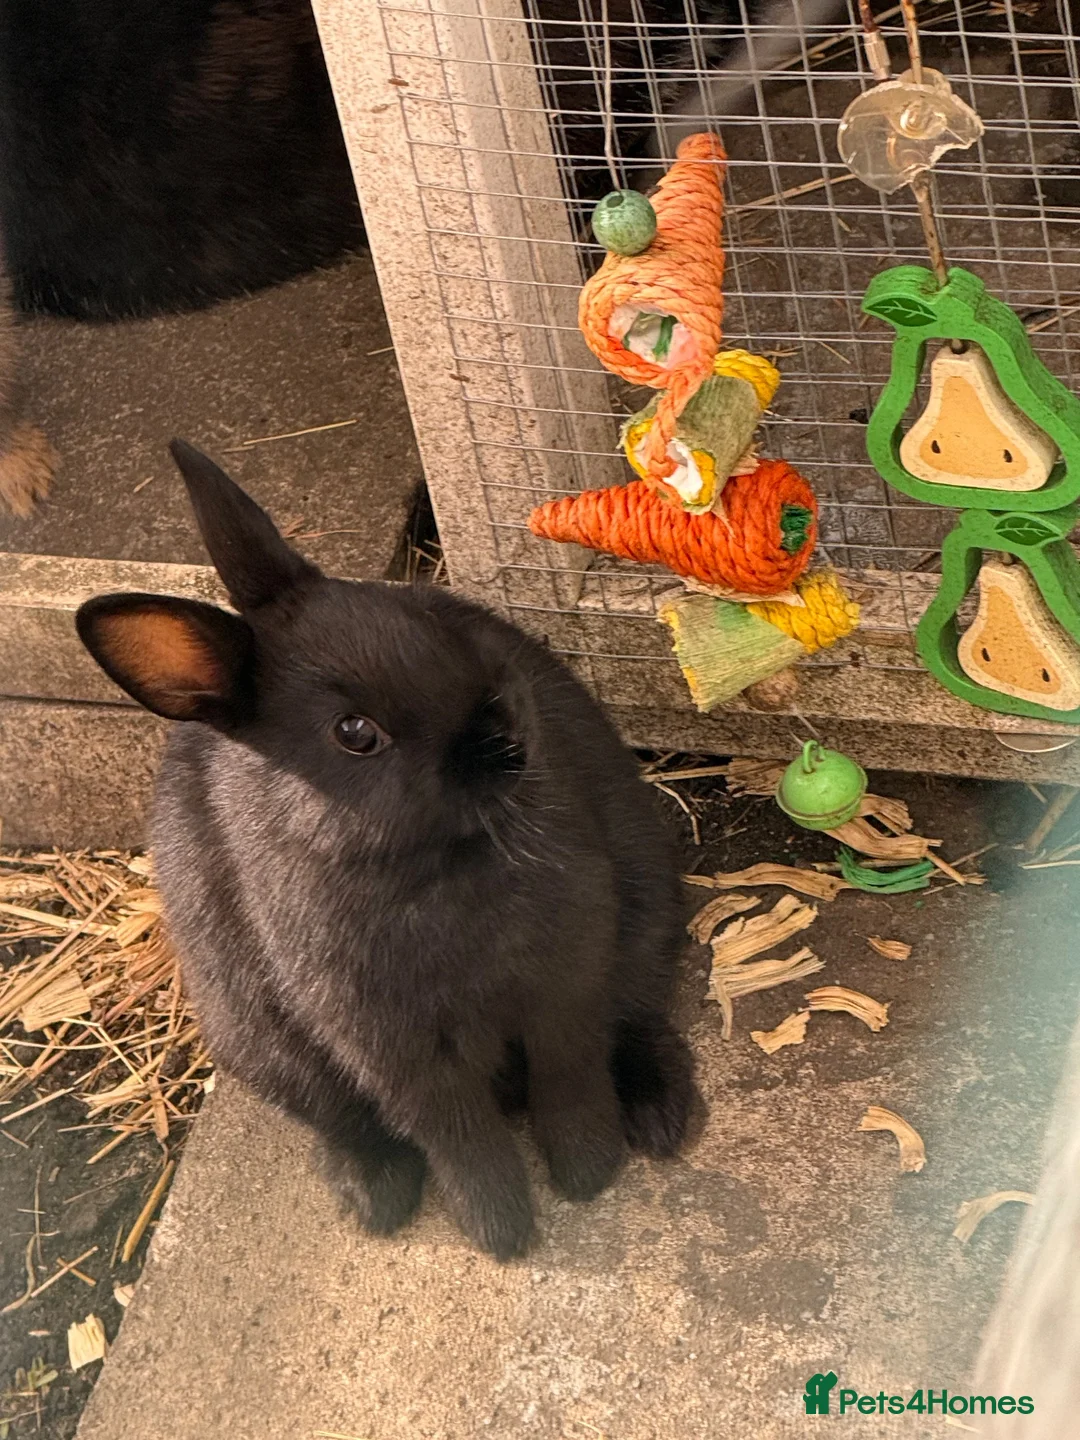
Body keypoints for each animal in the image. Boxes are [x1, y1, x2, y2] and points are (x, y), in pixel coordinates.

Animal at [75, 439, 696, 1259]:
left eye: (426, 622)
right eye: (355, 733)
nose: (508, 732)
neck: (430, 860)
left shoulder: (565, 986)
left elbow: (570, 1080)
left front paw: (588, 1174)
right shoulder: (397, 1051)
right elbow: (463, 1138)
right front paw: (502, 1232)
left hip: (650, 914)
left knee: (641, 1018)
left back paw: (661, 1120)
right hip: (257, 1044)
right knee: (347, 1124)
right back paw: (375, 1199)